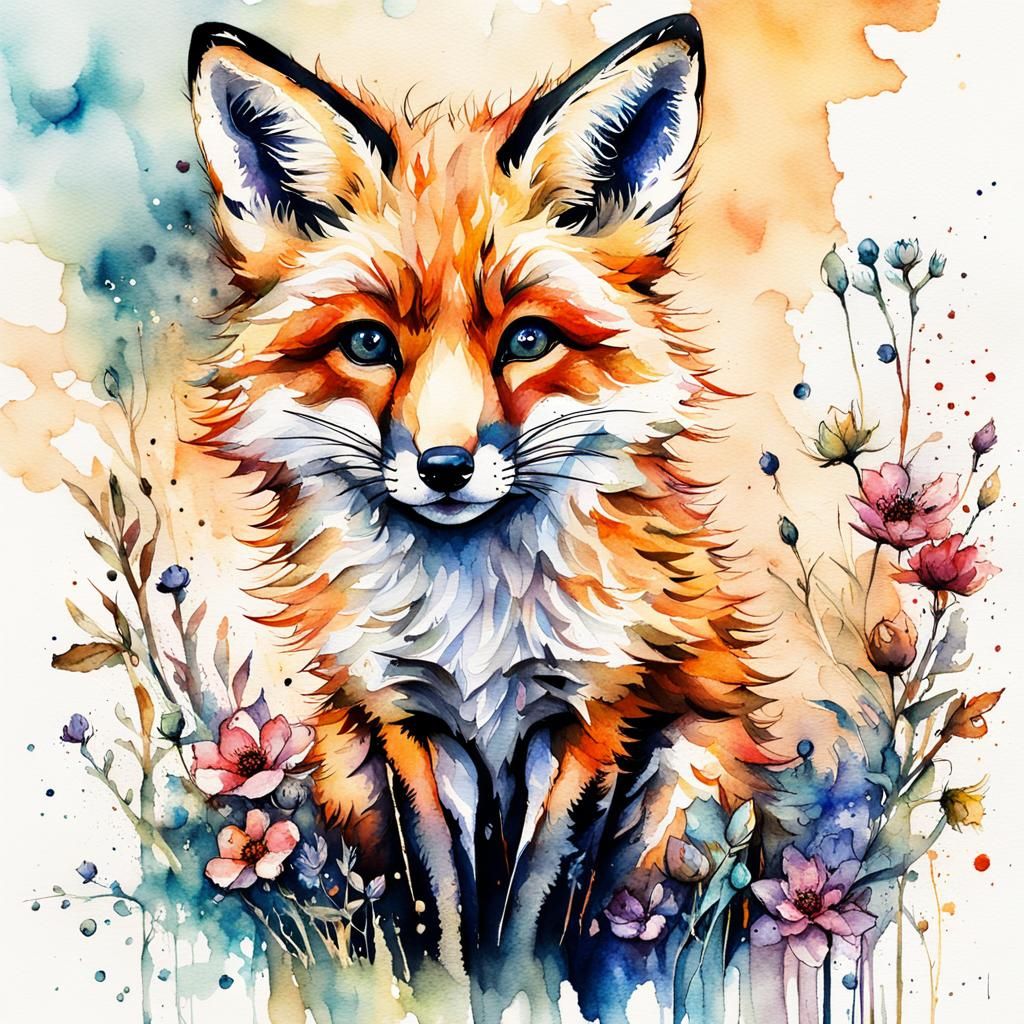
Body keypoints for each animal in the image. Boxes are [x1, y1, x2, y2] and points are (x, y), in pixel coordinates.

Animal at [187, 14, 771, 977]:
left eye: (528, 339)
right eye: (369, 343)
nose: (445, 467)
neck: (476, 621)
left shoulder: (594, 716)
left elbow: (535, 911)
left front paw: (530, 991)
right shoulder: (406, 726)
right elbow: (447, 916)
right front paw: (449, 992)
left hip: (689, 790)